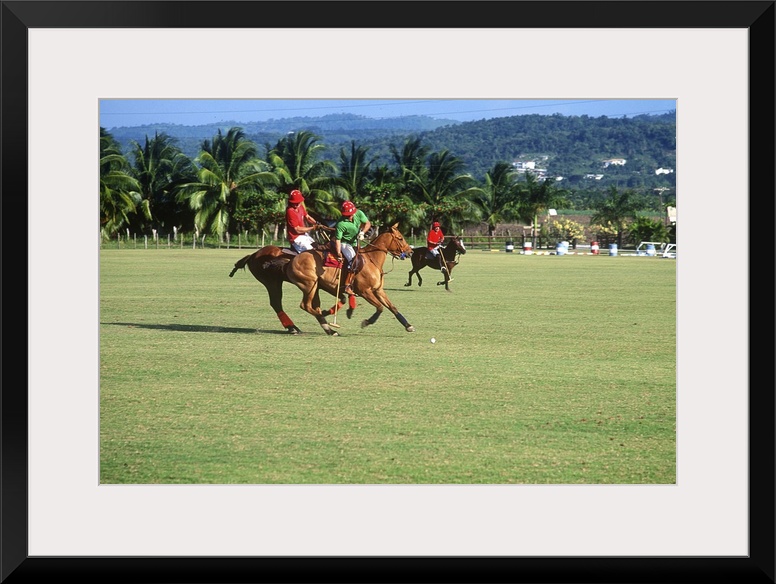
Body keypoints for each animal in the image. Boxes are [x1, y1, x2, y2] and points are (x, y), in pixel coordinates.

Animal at [230, 223, 415, 336]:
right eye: (400, 238)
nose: (410, 251)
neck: (371, 259)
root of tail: (253, 254)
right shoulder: (365, 291)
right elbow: (380, 308)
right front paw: (366, 322)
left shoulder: (378, 290)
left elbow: (392, 307)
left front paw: (408, 325)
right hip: (293, 284)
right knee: (298, 305)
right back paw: (312, 327)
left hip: (309, 285)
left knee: (308, 306)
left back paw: (320, 325)